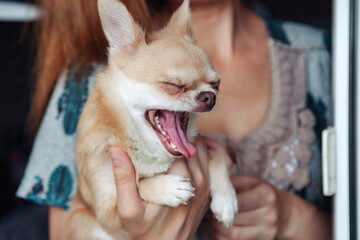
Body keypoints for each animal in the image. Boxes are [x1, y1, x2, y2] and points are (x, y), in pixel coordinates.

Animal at [65, 0, 238, 238]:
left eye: (216, 84)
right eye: (174, 85)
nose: (209, 97)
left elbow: (216, 155)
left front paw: (226, 198)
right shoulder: (109, 210)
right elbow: (139, 185)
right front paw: (168, 187)